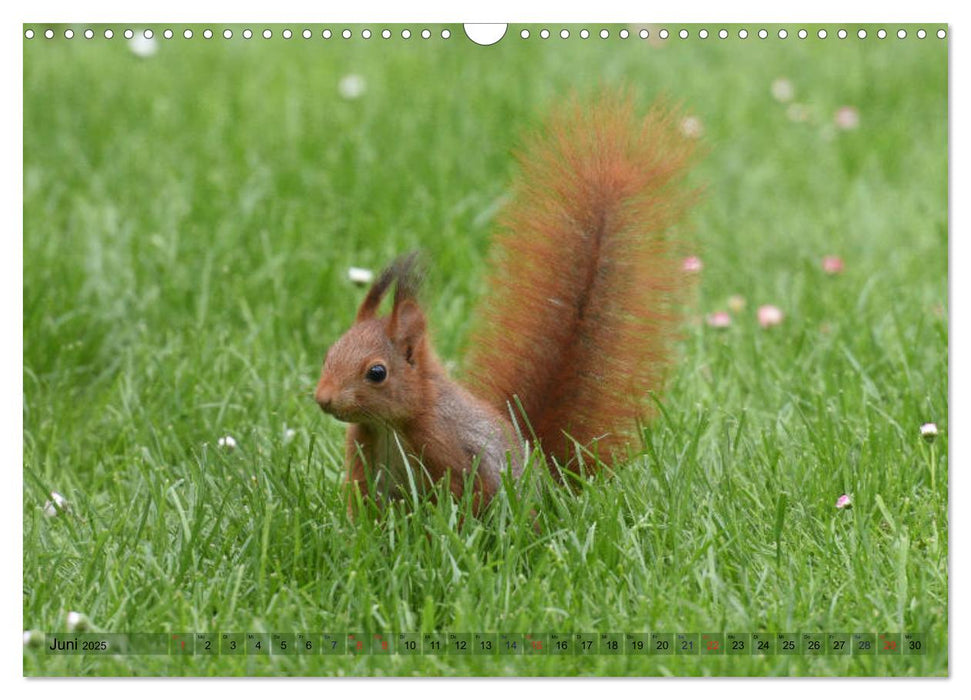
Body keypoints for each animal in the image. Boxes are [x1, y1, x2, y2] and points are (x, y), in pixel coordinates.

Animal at [316, 93, 704, 516]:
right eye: (329, 353)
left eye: (377, 373)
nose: (323, 399)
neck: (392, 424)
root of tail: (548, 480)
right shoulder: (364, 456)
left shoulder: (448, 447)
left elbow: (463, 496)